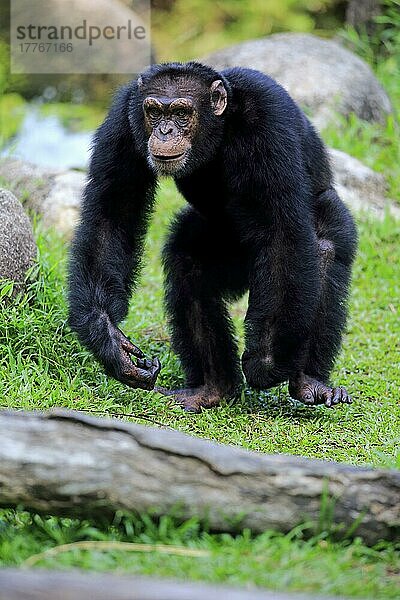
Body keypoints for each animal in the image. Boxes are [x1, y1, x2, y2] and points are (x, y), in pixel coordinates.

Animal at [68, 63, 356, 414]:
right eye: (153, 111)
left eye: (181, 113)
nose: (165, 131)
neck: (219, 127)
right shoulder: (123, 119)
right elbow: (112, 213)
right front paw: (110, 340)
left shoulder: (269, 121)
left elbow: (281, 234)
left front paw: (266, 362)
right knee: (188, 266)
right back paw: (212, 388)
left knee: (323, 250)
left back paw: (308, 381)